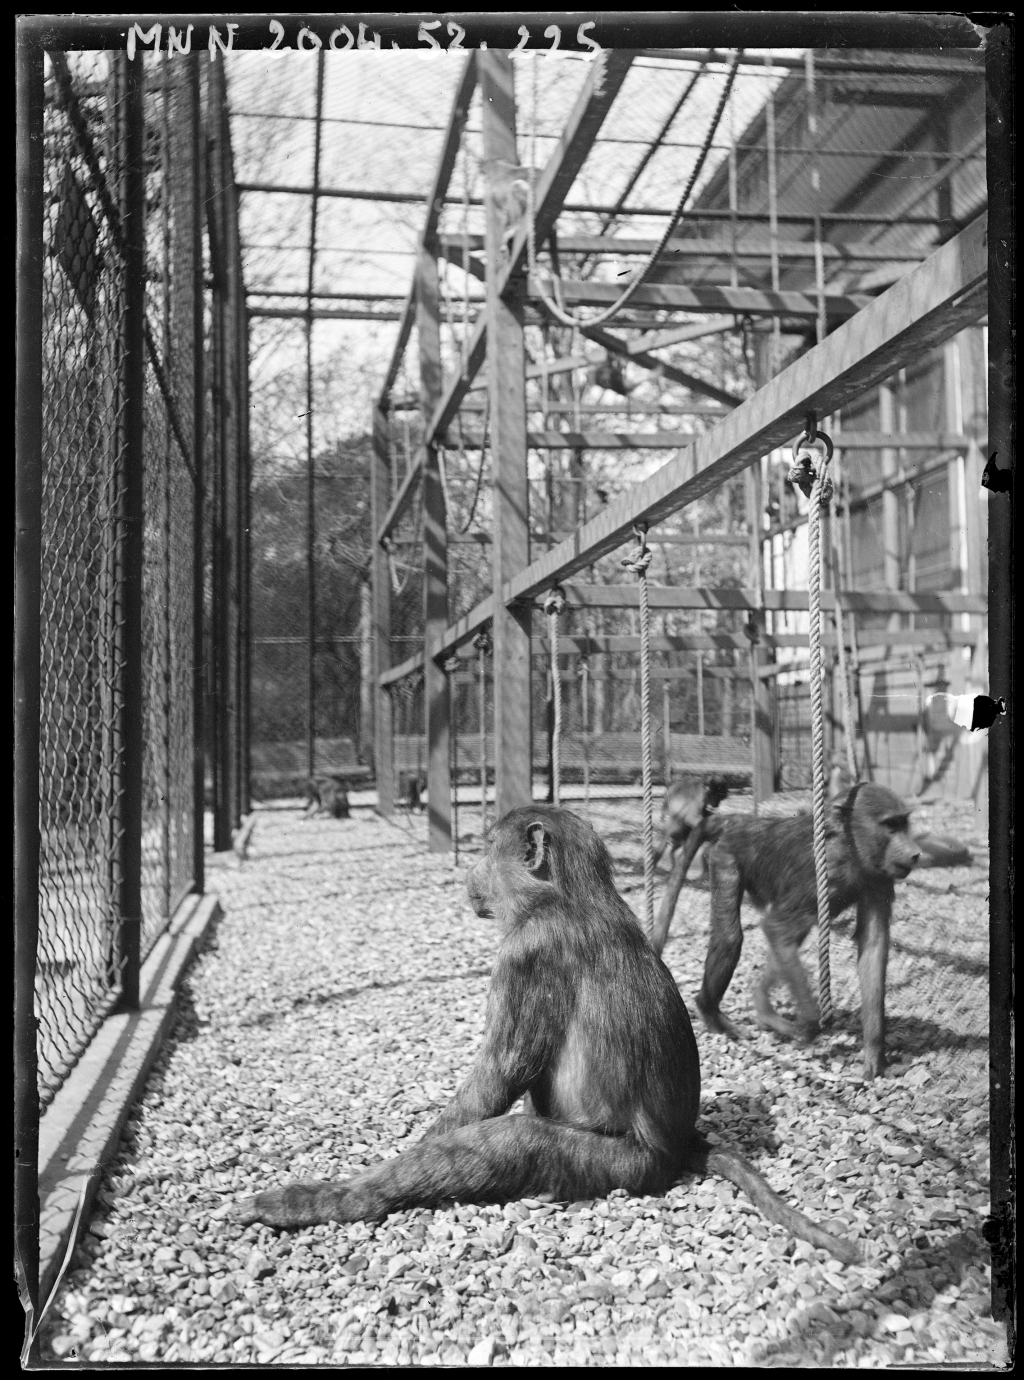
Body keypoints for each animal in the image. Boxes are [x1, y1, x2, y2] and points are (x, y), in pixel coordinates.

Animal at [224, 806, 860, 1263]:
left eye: (487, 849)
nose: (470, 872)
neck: (567, 895)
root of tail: (676, 1147)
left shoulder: (527, 951)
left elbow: (498, 1076)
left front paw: (372, 1174)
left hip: (621, 1166)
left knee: (510, 1142)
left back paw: (341, 1200)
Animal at [660, 783, 919, 1081]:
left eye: (903, 823)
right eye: (891, 825)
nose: (915, 853)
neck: (848, 847)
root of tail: (748, 822)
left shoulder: (879, 877)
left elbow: (873, 947)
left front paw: (875, 1051)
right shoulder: (820, 874)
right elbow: (776, 928)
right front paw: (810, 1026)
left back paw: (760, 1006)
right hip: (725, 856)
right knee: (732, 937)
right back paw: (712, 1011)